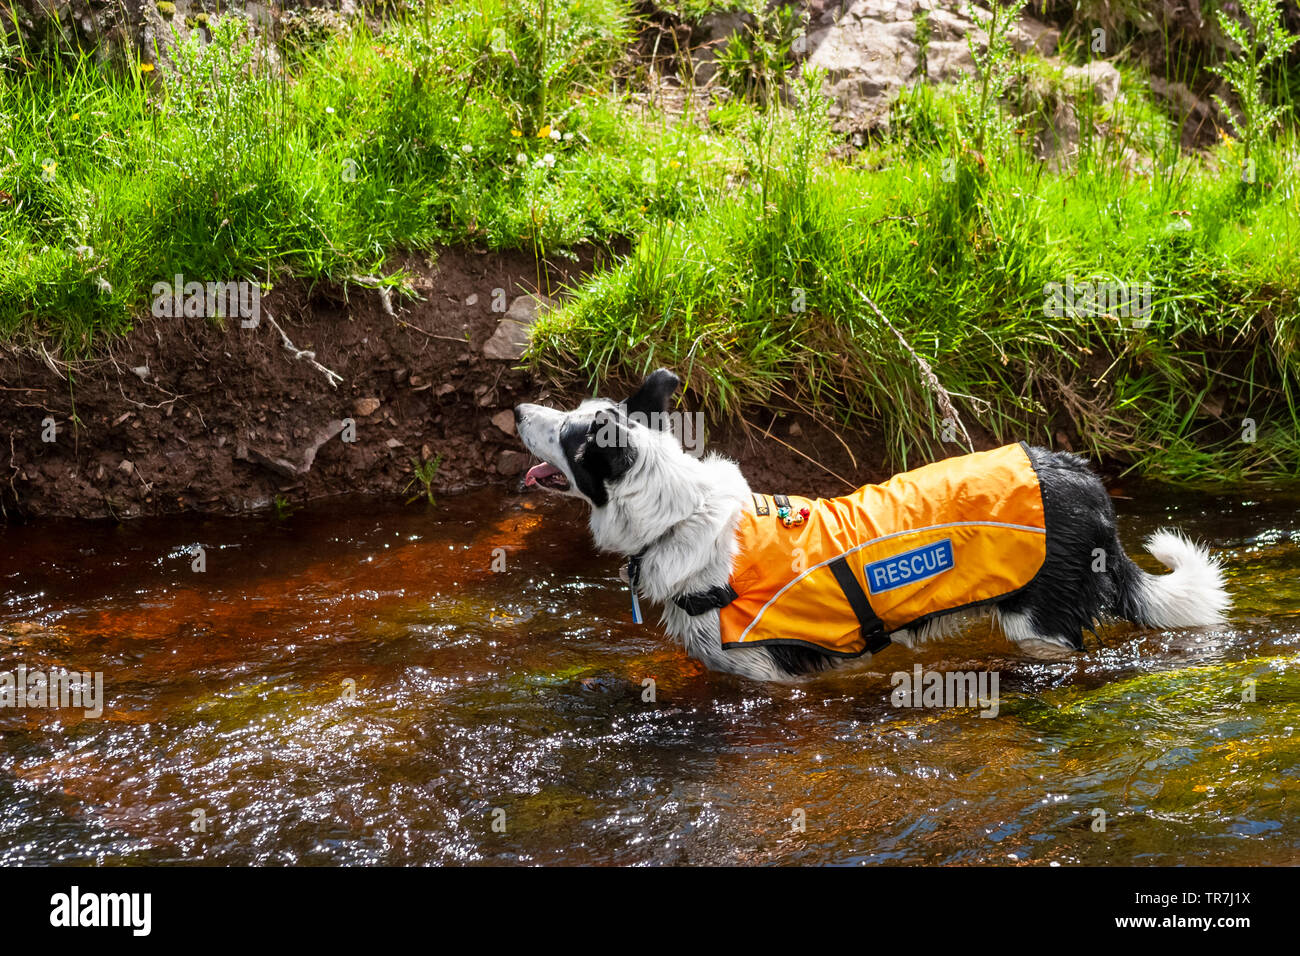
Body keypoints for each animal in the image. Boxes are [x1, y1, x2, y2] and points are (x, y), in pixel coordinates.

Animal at [512, 369, 1232, 681]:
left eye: (570, 435)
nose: (517, 411)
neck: (676, 514)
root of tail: (1085, 479)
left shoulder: (770, 674)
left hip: (1041, 630)